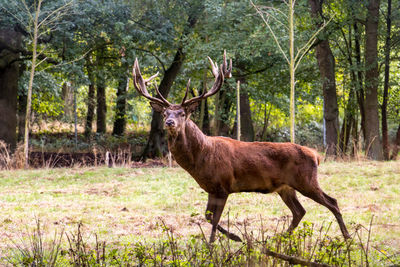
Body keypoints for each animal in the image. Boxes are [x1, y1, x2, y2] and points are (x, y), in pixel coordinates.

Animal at [132, 51, 350, 243]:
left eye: (182, 113)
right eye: (165, 113)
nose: (169, 122)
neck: (201, 158)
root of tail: (316, 155)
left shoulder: (223, 185)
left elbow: (214, 219)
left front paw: (222, 242)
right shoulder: (212, 188)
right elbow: (208, 216)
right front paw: (230, 239)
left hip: (306, 180)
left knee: (332, 202)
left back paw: (347, 237)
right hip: (286, 187)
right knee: (299, 211)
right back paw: (278, 238)